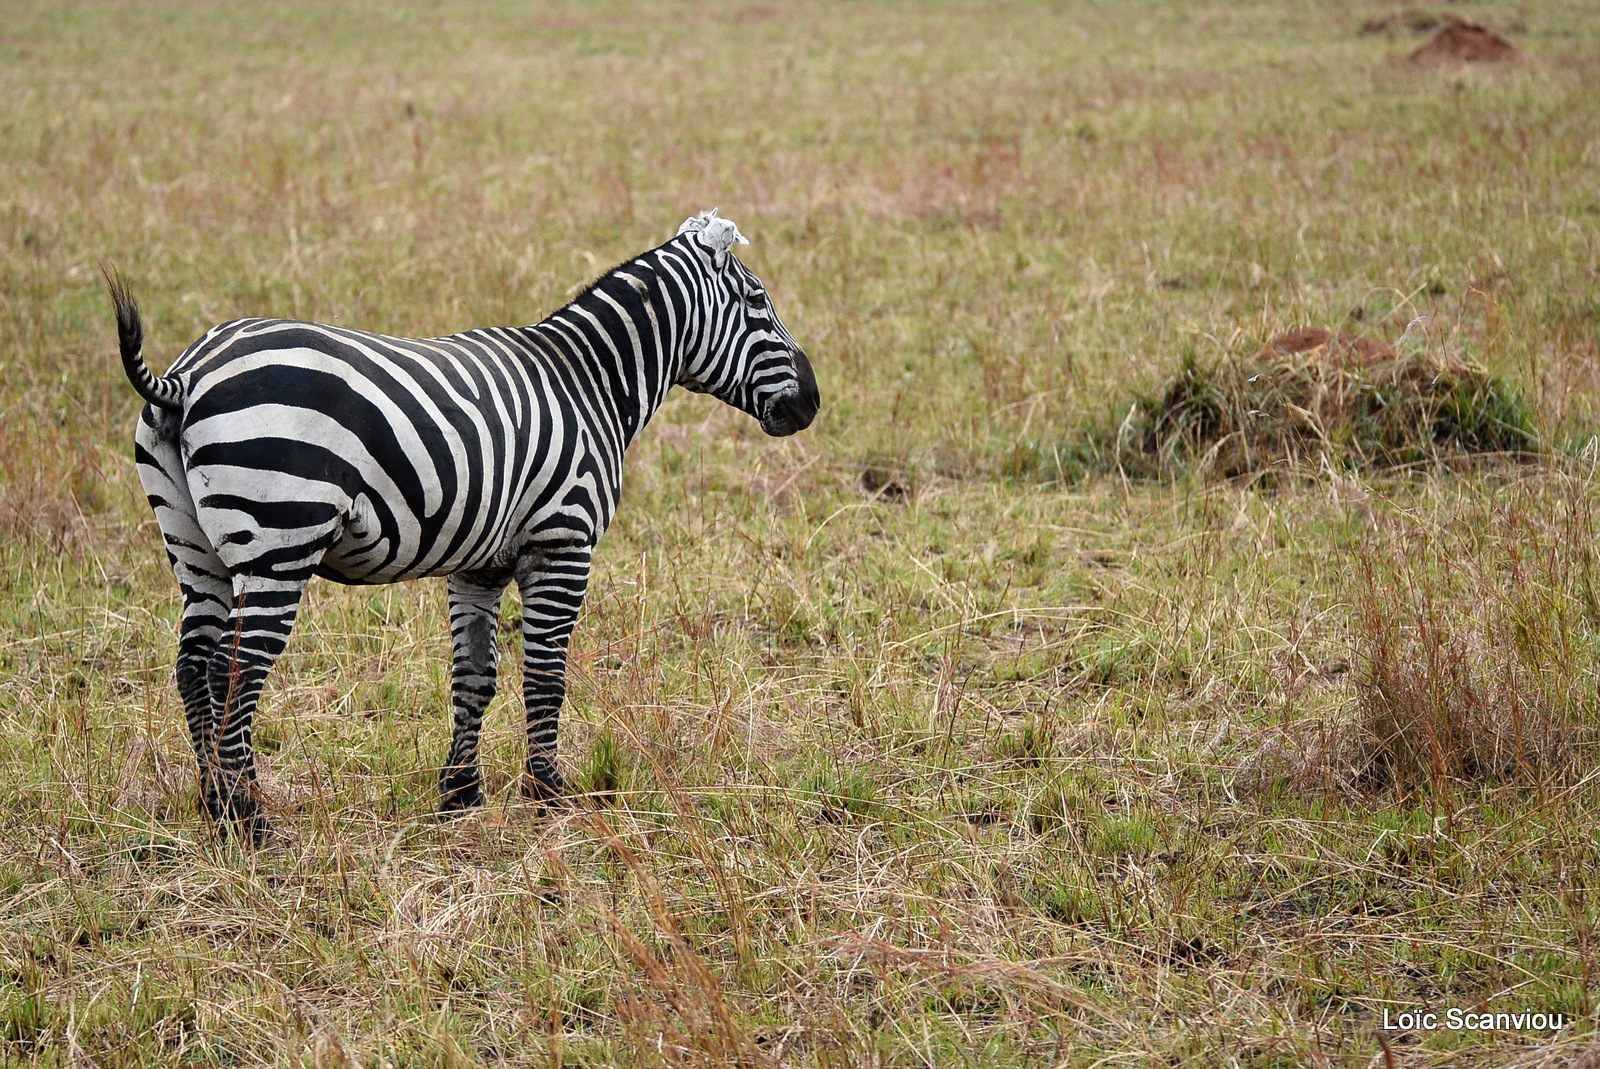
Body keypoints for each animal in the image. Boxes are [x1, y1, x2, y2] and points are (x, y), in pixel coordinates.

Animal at [106, 211, 819, 844]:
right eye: (758, 300)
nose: (812, 403)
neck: (587, 383)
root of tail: (189, 373)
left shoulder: (479, 563)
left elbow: (474, 678)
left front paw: (460, 798)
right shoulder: (562, 543)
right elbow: (545, 678)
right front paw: (548, 799)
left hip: (195, 546)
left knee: (195, 664)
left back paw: (214, 807)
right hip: (279, 542)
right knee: (235, 670)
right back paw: (249, 821)